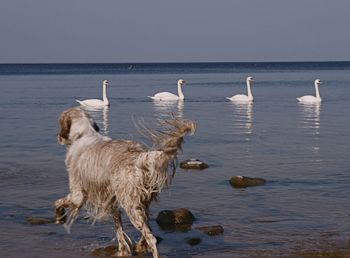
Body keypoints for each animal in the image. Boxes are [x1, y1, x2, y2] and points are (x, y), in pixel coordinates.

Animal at [54, 107, 197, 258]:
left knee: (151, 238)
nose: (58, 137)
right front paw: (123, 250)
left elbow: (58, 202)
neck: (83, 134)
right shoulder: (111, 200)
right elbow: (119, 230)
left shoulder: (78, 195)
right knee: (148, 229)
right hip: (141, 203)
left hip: (131, 206)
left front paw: (59, 216)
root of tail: (139, 157)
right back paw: (140, 246)